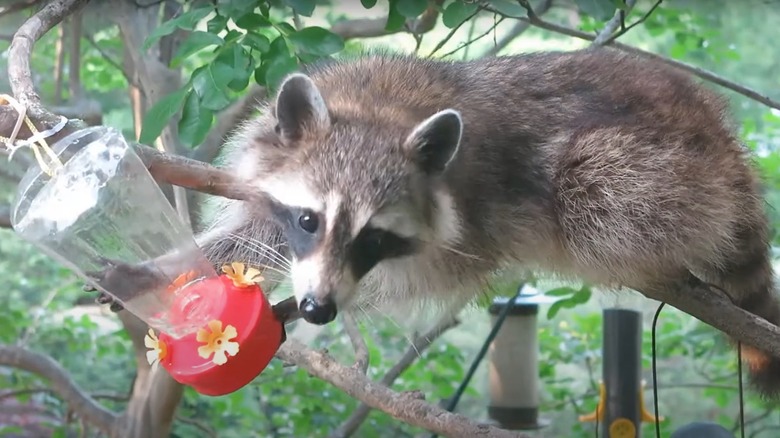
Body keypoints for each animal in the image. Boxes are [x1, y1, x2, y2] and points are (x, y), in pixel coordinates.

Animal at [102, 48, 780, 396]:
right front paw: (174, 268)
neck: (376, 110)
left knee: (598, 193)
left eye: (375, 238)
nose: (319, 308)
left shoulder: (474, 221)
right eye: (309, 219)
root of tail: (722, 134)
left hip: (667, 168)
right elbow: (257, 232)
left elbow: (419, 277)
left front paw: (293, 305)